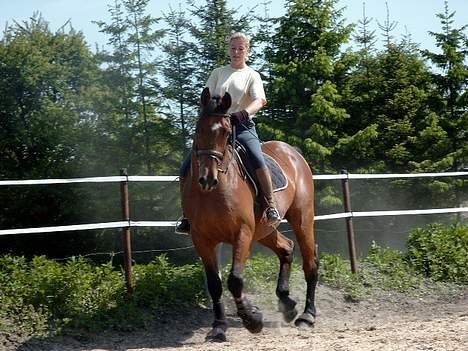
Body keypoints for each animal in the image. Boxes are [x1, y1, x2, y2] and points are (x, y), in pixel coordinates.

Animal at [182, 86, 318, 342]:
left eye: (227, 132)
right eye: (198, 129)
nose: (207, 178)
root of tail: (292, 151)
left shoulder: (242, 233)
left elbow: (235, 280)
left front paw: (252, 320)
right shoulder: (202, 239)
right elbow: (215, 284)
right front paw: (219, 327)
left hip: (302, 219)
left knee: (310, 263)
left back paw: (307, 316)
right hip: (265, 230)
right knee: (286, 248)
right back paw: (287, 304)